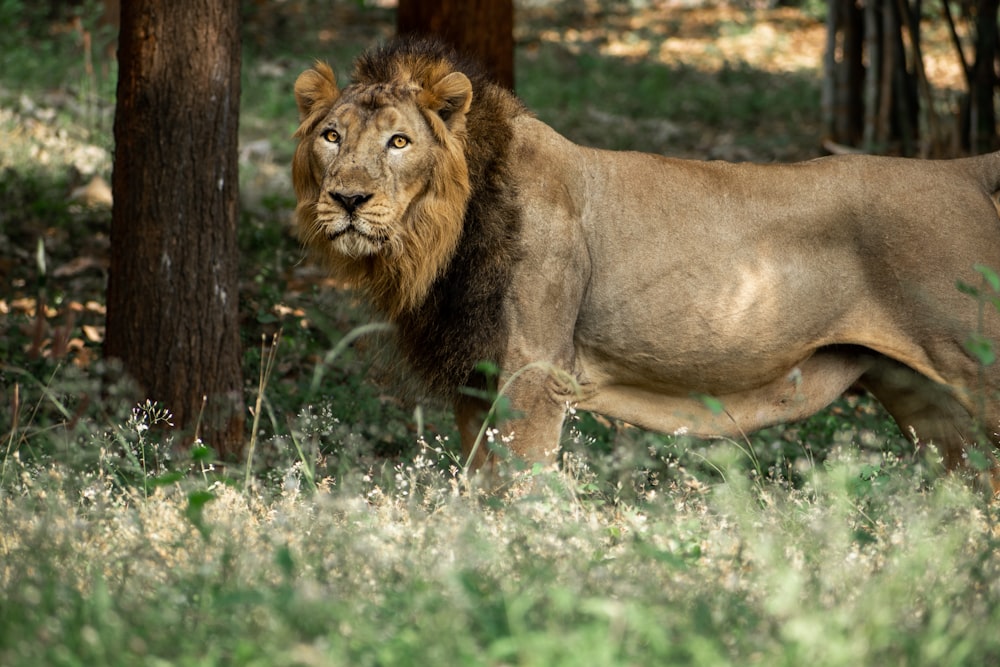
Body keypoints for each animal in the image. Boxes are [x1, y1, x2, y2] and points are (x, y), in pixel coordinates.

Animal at [292, 37, 1000, 486]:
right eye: (332, 137)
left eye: (399, 142)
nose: (348, 199)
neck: (438, 238)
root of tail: (964, 171)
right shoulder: (476, 380)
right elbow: (473, 494)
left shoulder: (534, 374)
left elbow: (514, 496)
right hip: (920, 396)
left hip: (978, 369)